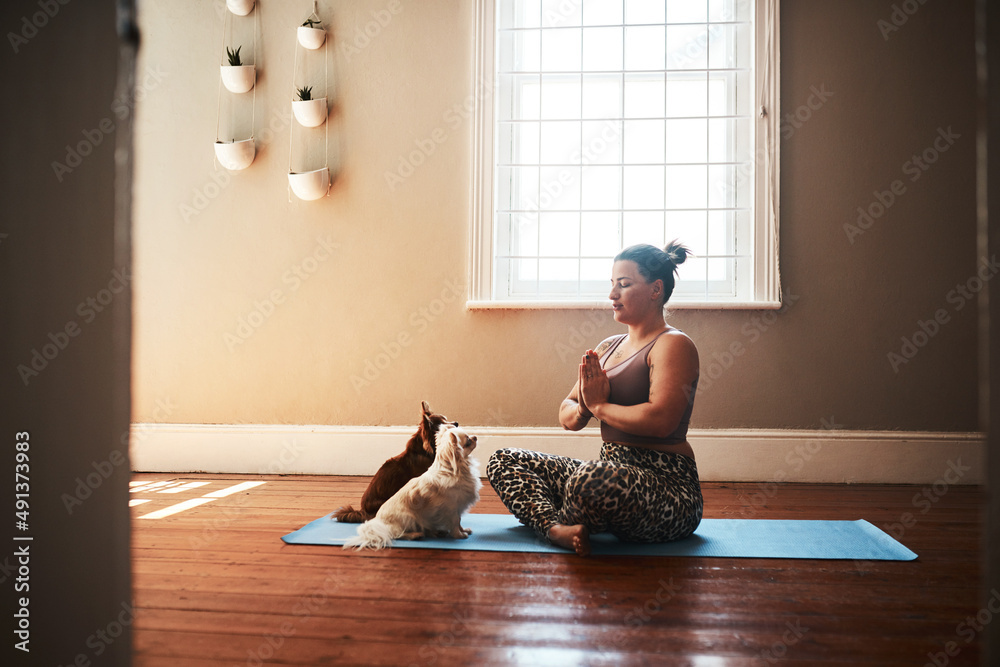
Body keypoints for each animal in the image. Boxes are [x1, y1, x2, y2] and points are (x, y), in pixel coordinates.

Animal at [346, 426, 482, 552]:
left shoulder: (458, 508)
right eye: (468, 441)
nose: (475, 437)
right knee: (396, 534)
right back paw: (415, 535)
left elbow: (459, 522)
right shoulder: (452, 508)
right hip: (409, 518)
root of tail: (378, 522)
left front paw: (464, 530)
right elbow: (455, 523)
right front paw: (459, 535)